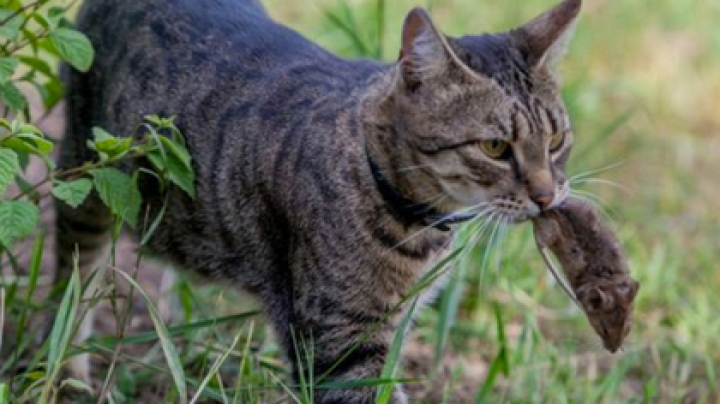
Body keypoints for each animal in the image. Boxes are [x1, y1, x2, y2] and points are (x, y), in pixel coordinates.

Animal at [59, 0, 584, 400]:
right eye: (494, 147)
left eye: (557, 139)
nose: (547, 195)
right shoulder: (340, 342)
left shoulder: (393, 324)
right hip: (83, 177)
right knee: (72, 280)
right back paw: (68, 372)